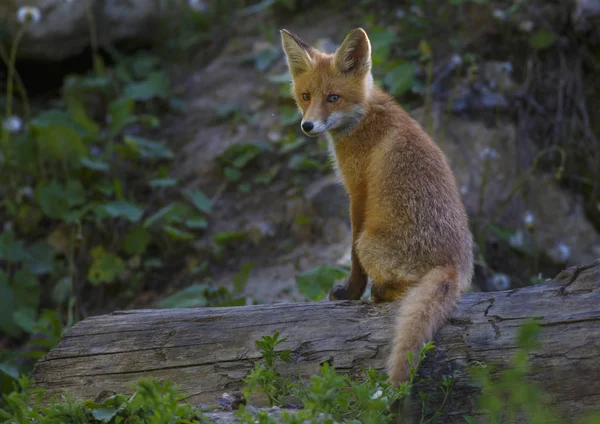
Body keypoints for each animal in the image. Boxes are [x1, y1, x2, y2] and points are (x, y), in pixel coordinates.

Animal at [280, 25, 474, 384]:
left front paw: (350, 293)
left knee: (401, 287)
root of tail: (452, 266)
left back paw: (380, 293)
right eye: (306, 96)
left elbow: (353, 256)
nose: (307, 126)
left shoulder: (357, 193)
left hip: (371, 243)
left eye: (333, 98)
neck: (363, 116)